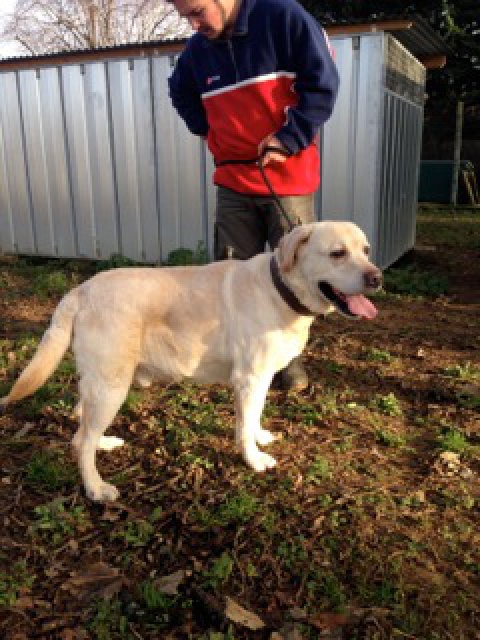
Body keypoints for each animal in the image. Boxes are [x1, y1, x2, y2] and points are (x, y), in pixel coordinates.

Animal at [0, 222, 382, 502]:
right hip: (111, 385)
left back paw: (103, 443)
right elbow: (245, 425)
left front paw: (258, 437)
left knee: (81, 428)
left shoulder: (257, 380)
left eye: (366, 250)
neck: (280, 289)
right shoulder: (250, 378)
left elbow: (251, 418)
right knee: (82, 440)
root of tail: (81, 290)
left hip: (102, 382)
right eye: (337, 253)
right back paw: (95, 487)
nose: (376, 277)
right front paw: (254, 459)